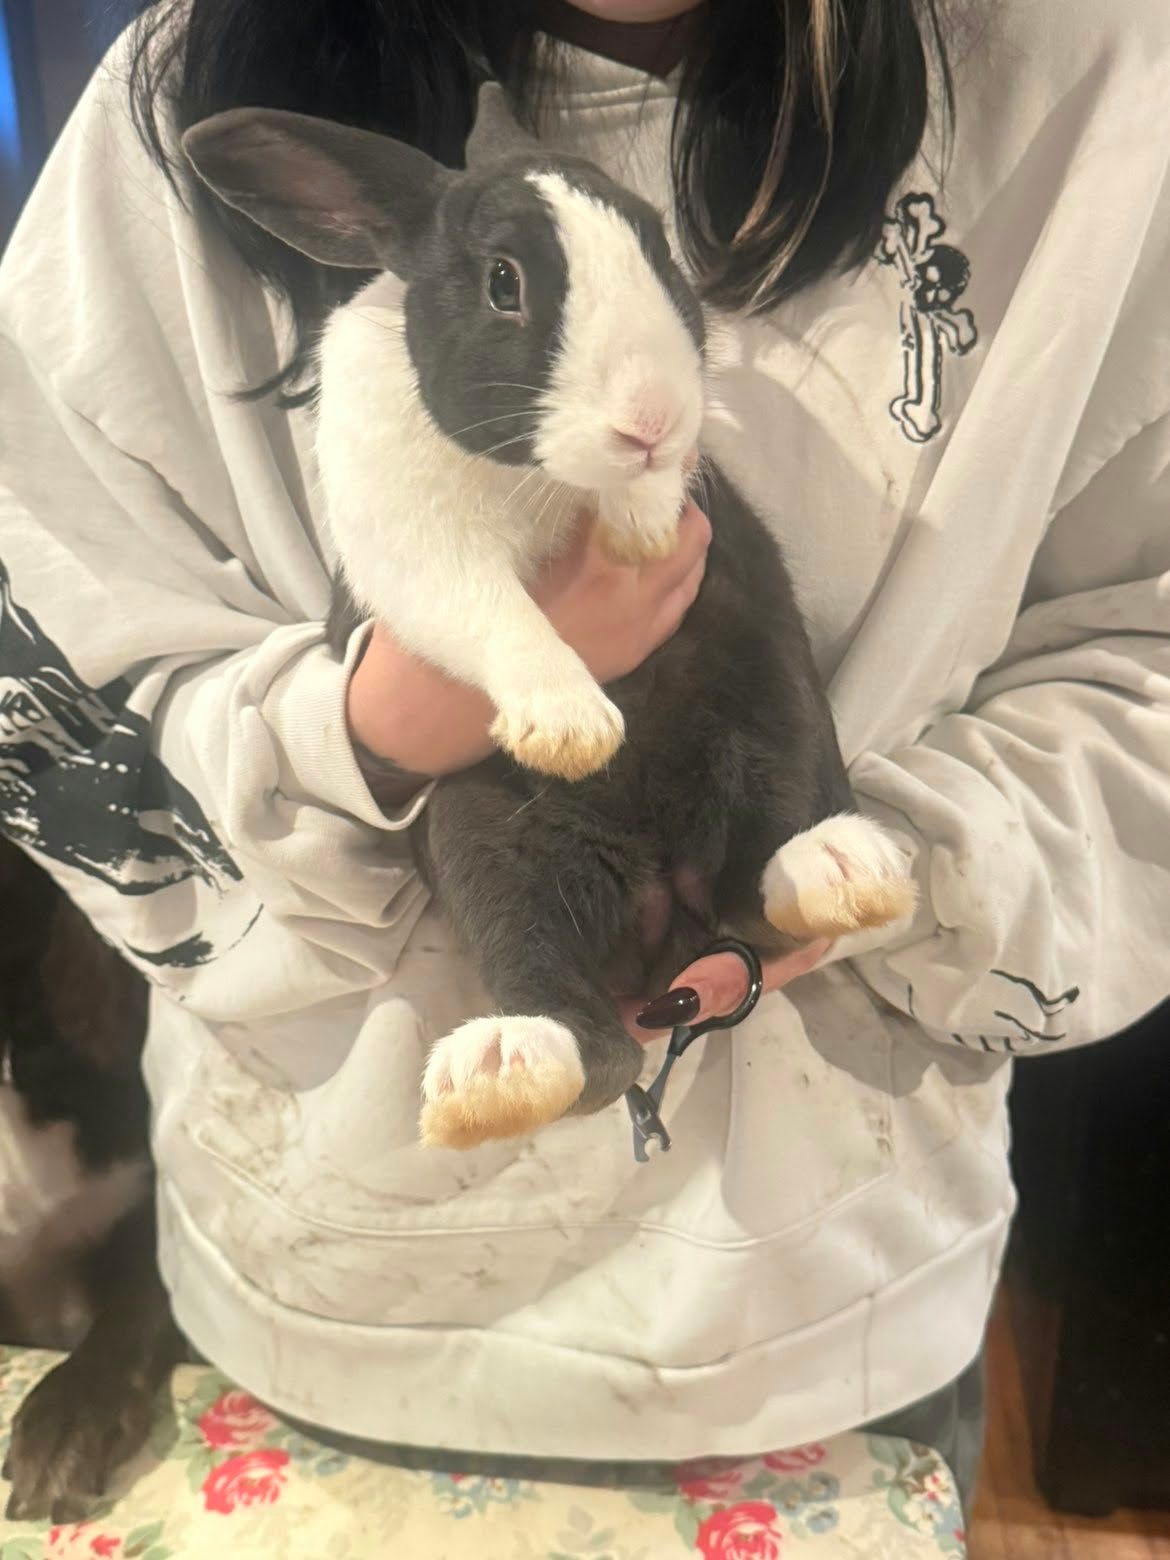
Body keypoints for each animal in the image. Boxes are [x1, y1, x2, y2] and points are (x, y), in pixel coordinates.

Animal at [183, 109, 916, 1152]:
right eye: (503, 282)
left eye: (658, 249)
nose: (649, 415)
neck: (539, 479)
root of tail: (661, 908)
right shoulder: (412, 552)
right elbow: (488, 609)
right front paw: (572, 730)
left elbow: (663, 489)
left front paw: (643, 523)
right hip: (482, 839)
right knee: (579, 1027)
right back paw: (505, 1068)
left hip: (774, 720)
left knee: (762, 895)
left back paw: (842, 867)